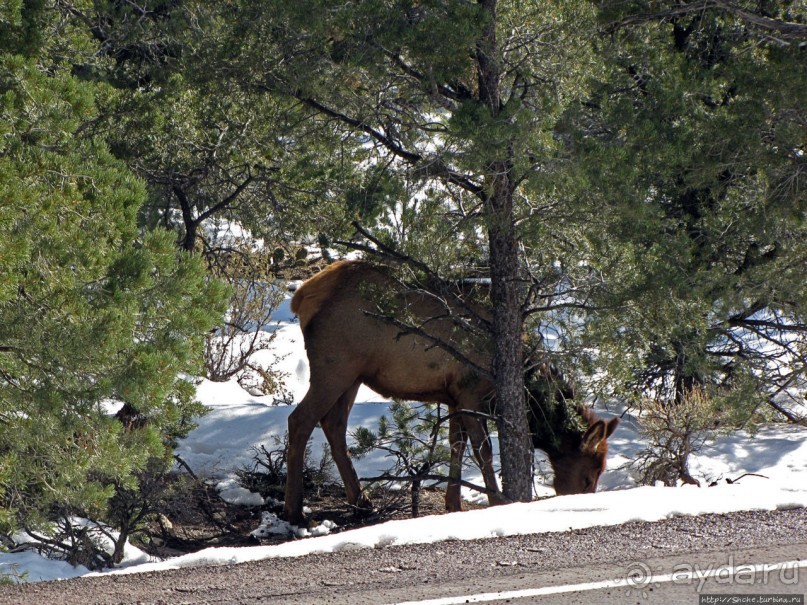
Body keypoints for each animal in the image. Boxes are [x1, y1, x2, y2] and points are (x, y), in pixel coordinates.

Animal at [284, 260, 620, 524]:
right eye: (589, 476)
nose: (584, 503)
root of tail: (301, 297)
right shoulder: (471, 393)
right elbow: (483, 451)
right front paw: (496, 500)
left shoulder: (454, 398)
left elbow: (456, 445)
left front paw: (454, 503)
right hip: (334, 368)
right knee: (300, 420)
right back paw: (295, 510)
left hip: (353, 376)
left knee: (333, 425)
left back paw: (361, 501)